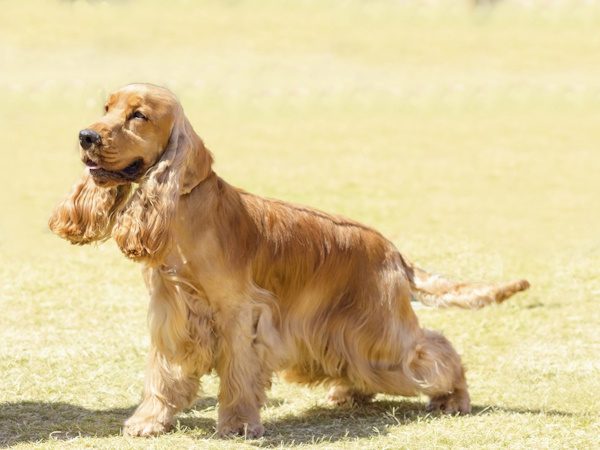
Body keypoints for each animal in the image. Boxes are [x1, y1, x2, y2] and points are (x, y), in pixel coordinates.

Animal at [49, 82, 528, 438]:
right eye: (106, 108)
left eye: (138, 115)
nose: (86, 136)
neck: (185, 208)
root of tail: (393, 251)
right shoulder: (172, 312)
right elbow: (163, 374)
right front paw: (149, 422)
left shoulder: (239, 313)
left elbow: (238, 375)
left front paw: (238, 424)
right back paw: (349, 393)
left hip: (381, 332)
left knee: (436, 350)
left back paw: (455, 397)